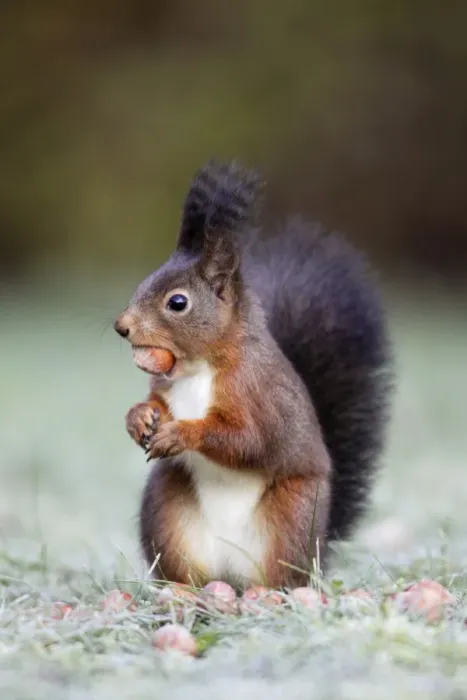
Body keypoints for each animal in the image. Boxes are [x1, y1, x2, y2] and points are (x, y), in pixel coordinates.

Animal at [114, 159, 392, 589]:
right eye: (144, 282)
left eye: (177, 303)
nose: (122, 326)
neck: (199, 367)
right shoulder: (166, 388)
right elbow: (157, 401)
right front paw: (139, 417)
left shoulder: (258, 394)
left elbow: (249, 440)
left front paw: (182, 433)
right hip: (167, 511)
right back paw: (183, 592)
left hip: (291, 517)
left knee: (280, 575)